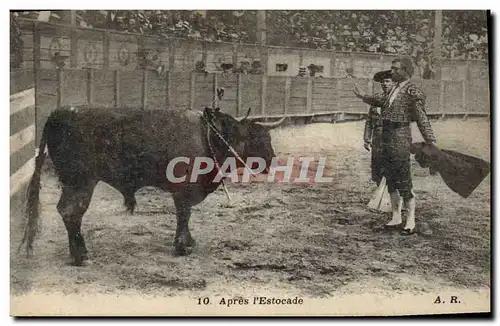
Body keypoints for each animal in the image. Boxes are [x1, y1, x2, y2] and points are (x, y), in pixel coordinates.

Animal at [20, 105, 286, 266]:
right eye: (258, 138)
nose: (272, 160)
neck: (209, 136)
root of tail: (60, 112)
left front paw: (188, 242)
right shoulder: (184, 190)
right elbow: (184, 214)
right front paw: (183, 246)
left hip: (74, 183)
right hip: (81, 182)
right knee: (71, 212)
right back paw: (81, 255)